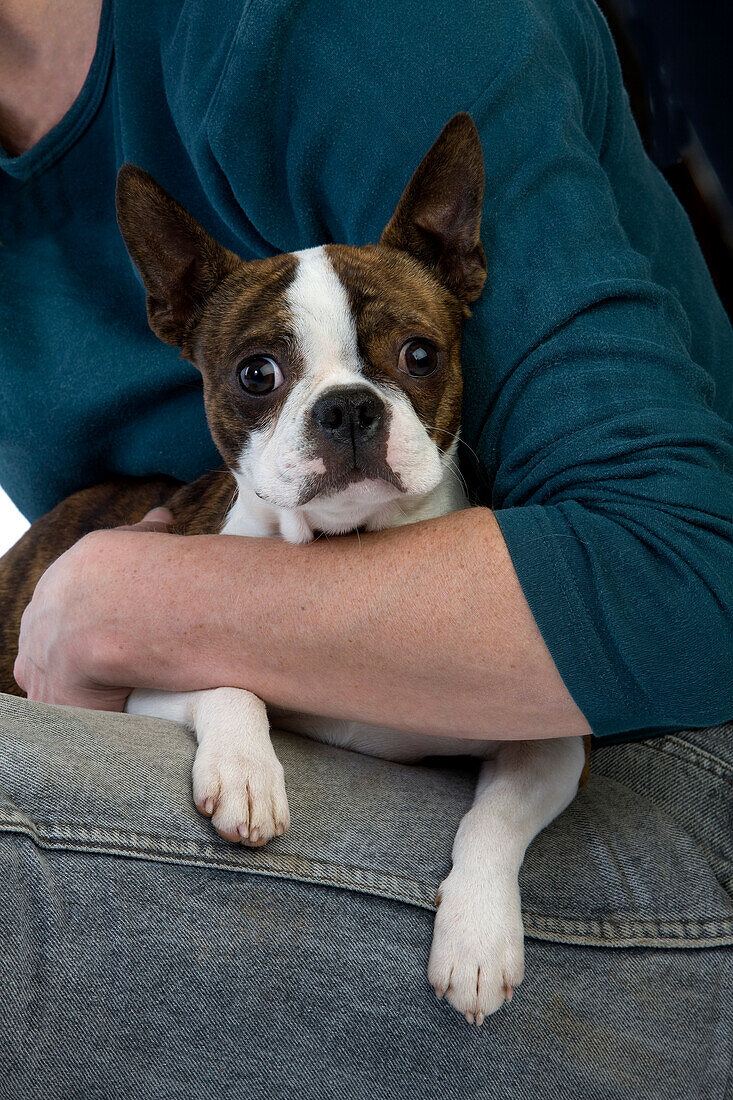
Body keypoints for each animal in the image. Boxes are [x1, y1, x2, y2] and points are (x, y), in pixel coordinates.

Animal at [0, 113, 585, 1020]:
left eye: (420, 355)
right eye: (256, 373)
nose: (347, 408)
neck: (341, 549)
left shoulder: (552, 739)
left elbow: (493, 820)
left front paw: (478, 937)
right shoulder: (131, 679)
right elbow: (227, 685)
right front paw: (246, 774)